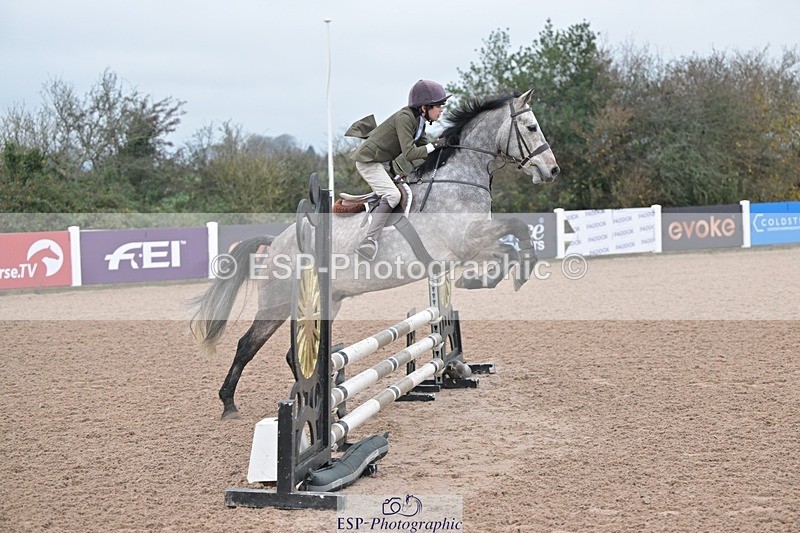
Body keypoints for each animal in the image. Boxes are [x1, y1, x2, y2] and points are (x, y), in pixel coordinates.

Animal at [191, 88, 560, 419]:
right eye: (531, 128)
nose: (552, 171)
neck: (459, 179)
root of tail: (276, 241)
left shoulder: (468, 248)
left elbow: (508, 246)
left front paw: (482, 288)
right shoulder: (468, 240)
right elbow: (516, 230)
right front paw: (505, 277)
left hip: (328, 302)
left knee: (292, 354)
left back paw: (320, 404)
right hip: (279, 303)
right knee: (247, 345)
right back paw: (230, 405)